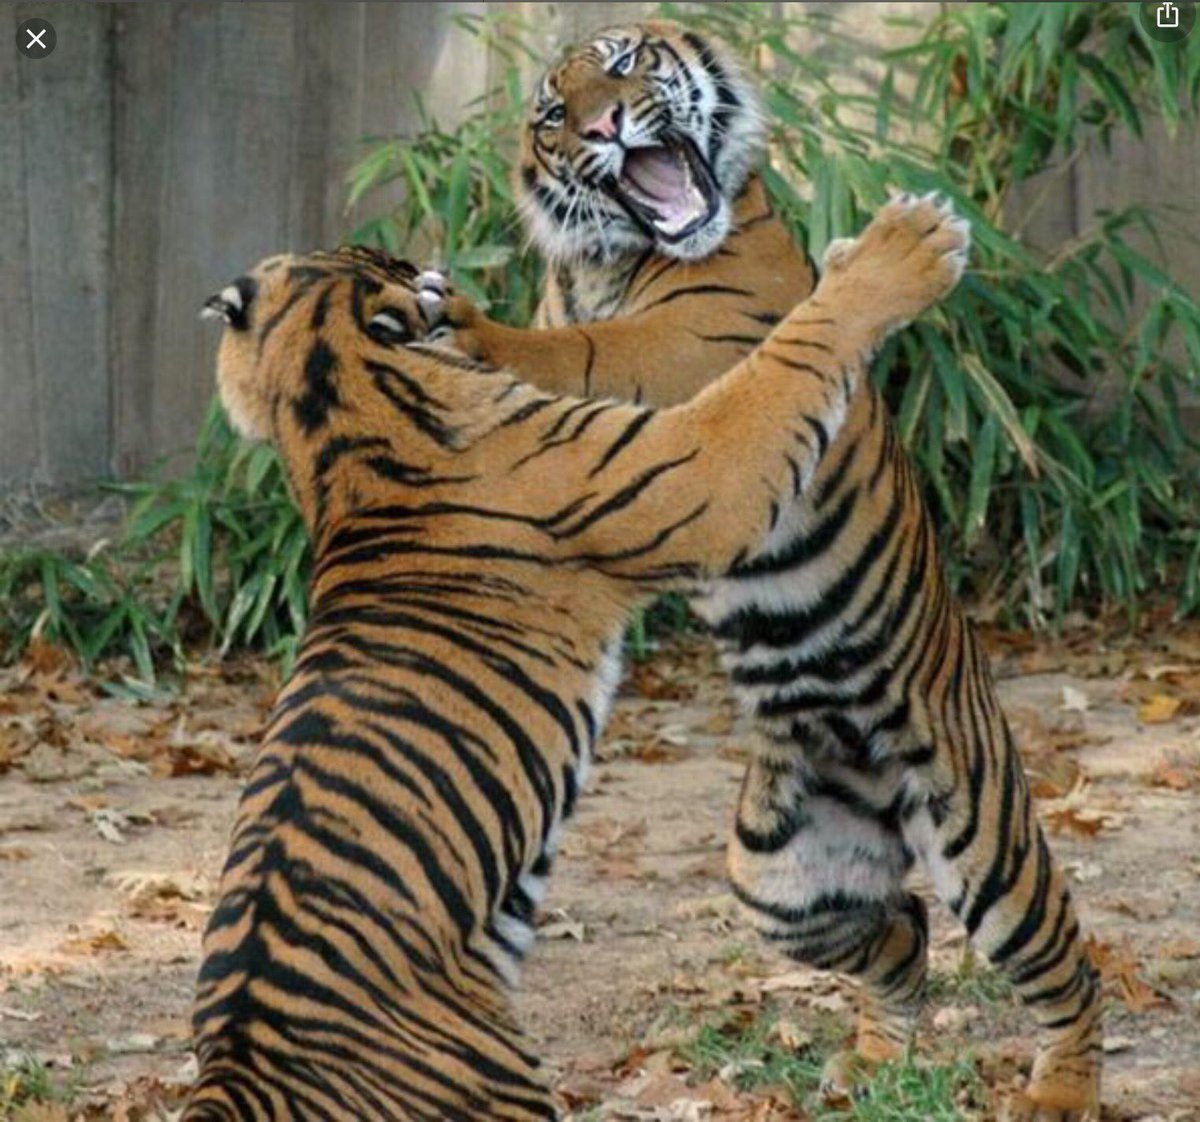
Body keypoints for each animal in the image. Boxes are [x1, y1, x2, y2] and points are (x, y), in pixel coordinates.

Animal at [182, 195, 968, 1120]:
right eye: (386, 259)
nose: (433, 268)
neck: (324, 396)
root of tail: (236, 1065)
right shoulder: (690, 473)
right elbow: (776, 374)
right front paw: (906, 248)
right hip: (499, 1074)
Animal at [432, 20, 1101, 1122]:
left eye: (624, 66)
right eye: (554, 113)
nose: (602, 128)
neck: (608, 263)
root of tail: (881, 793)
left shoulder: (689, 348)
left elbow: (582, 351)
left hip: (984, 838)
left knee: (1064, 964)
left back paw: (1062, 1090)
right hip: (776, 878)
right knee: (903, 930)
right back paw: (871, 1064)